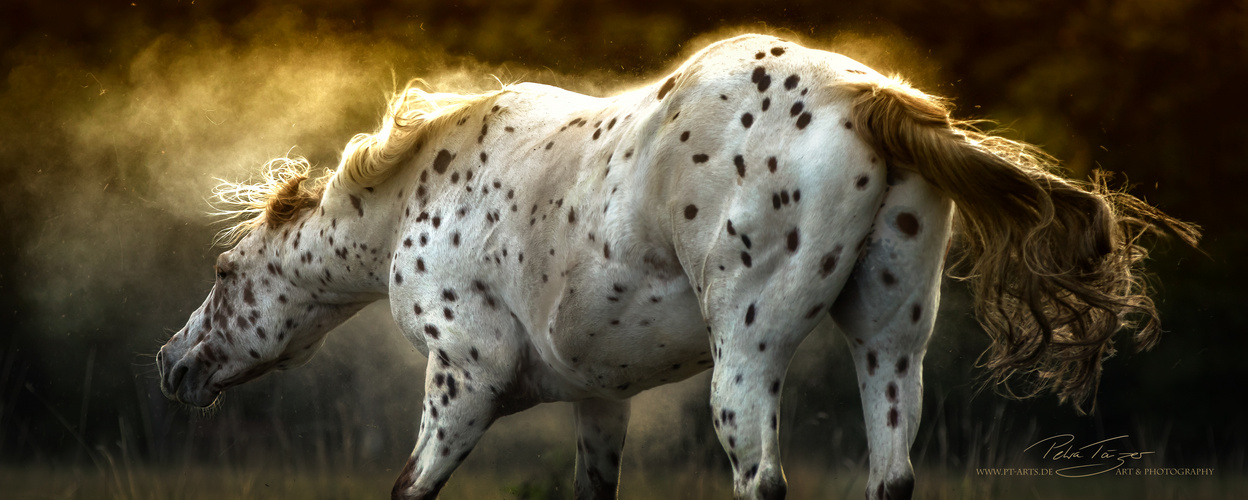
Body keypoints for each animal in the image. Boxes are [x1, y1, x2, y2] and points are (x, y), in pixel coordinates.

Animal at [158, 33, 1198, 496]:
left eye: (224, 273)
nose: (171, 365)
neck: (420, 188)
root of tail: (870, 97)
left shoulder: (461, 379)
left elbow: (410, 488)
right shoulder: (599, 399)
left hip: (748, 357)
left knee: (762, 477)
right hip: (889, 346)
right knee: (891, 474)